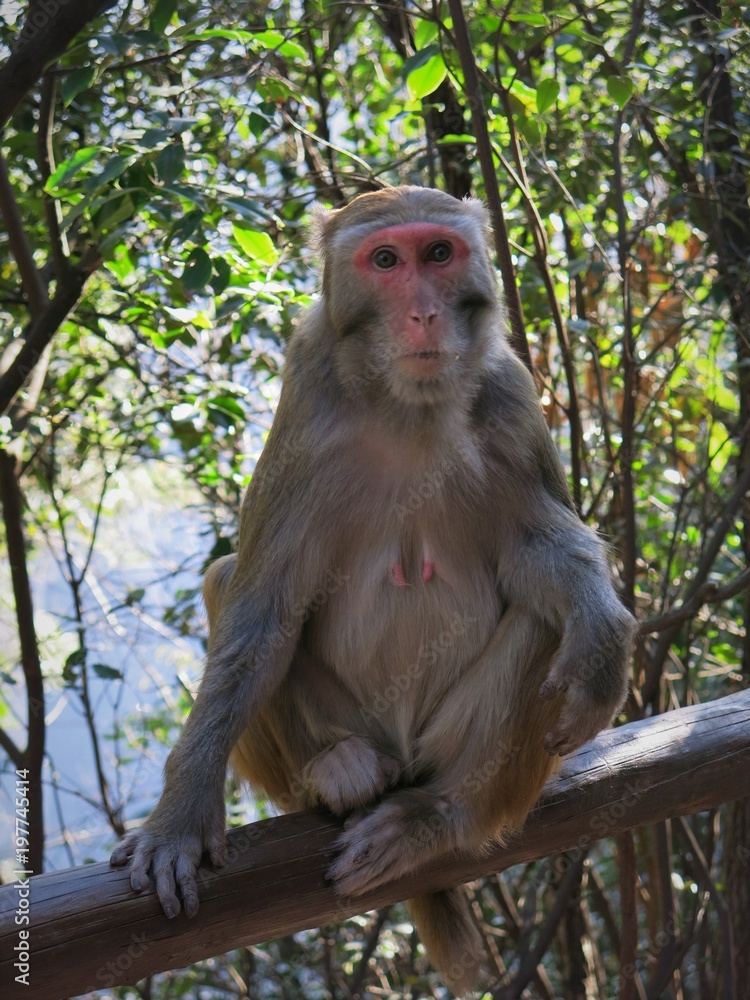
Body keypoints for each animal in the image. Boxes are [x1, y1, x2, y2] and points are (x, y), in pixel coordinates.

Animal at [111, 186, 635, 996]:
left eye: (439, 254)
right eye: (386, 261)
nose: (422, 313)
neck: (406, 403)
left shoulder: (510, 395)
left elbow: (535, 554)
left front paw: (603, 628)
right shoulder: (306, 400)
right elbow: (261, 611)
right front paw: (180, 818)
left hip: (446, 744)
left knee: (549, 630)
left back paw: (442, 817)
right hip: (355, 729)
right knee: (227, 582)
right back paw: (336, 770)